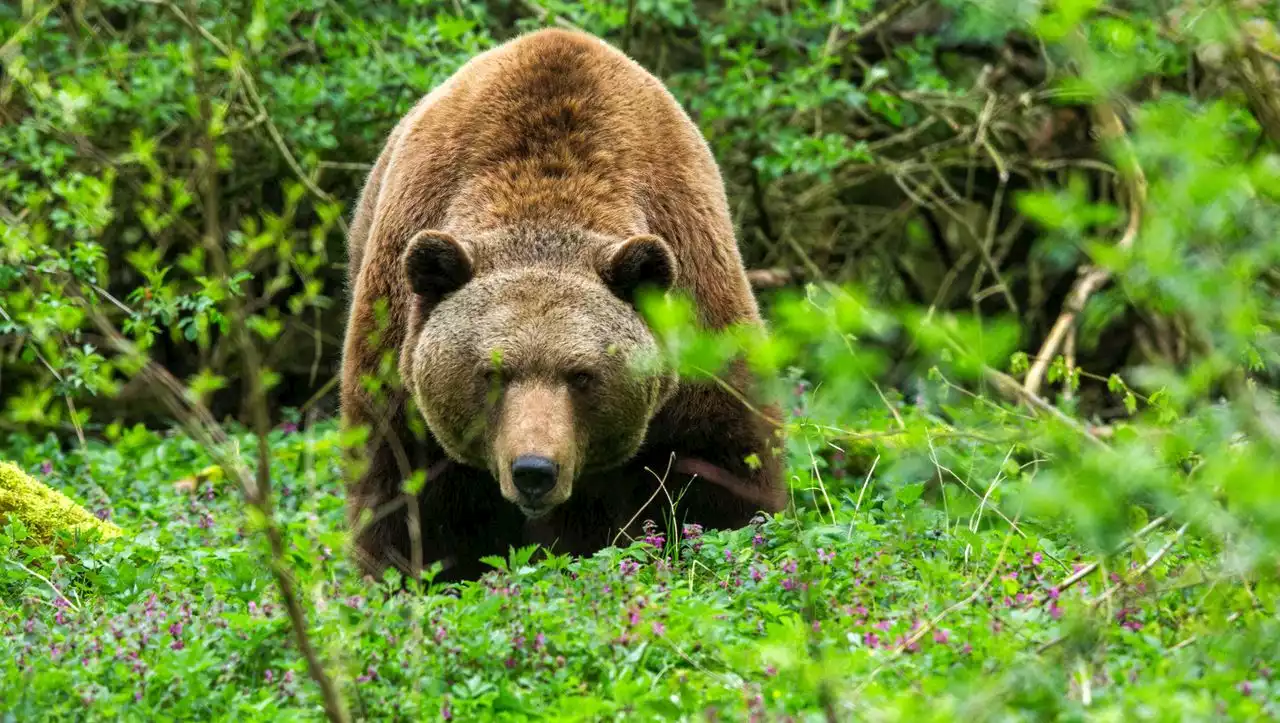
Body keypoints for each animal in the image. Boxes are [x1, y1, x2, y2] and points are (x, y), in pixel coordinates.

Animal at [340, 28, 778, 583]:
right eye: (492, 372)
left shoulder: (695, 316)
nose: (534, 471)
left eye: (582, 374)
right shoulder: (398, 370)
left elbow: (721, 473)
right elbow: (412, 505)